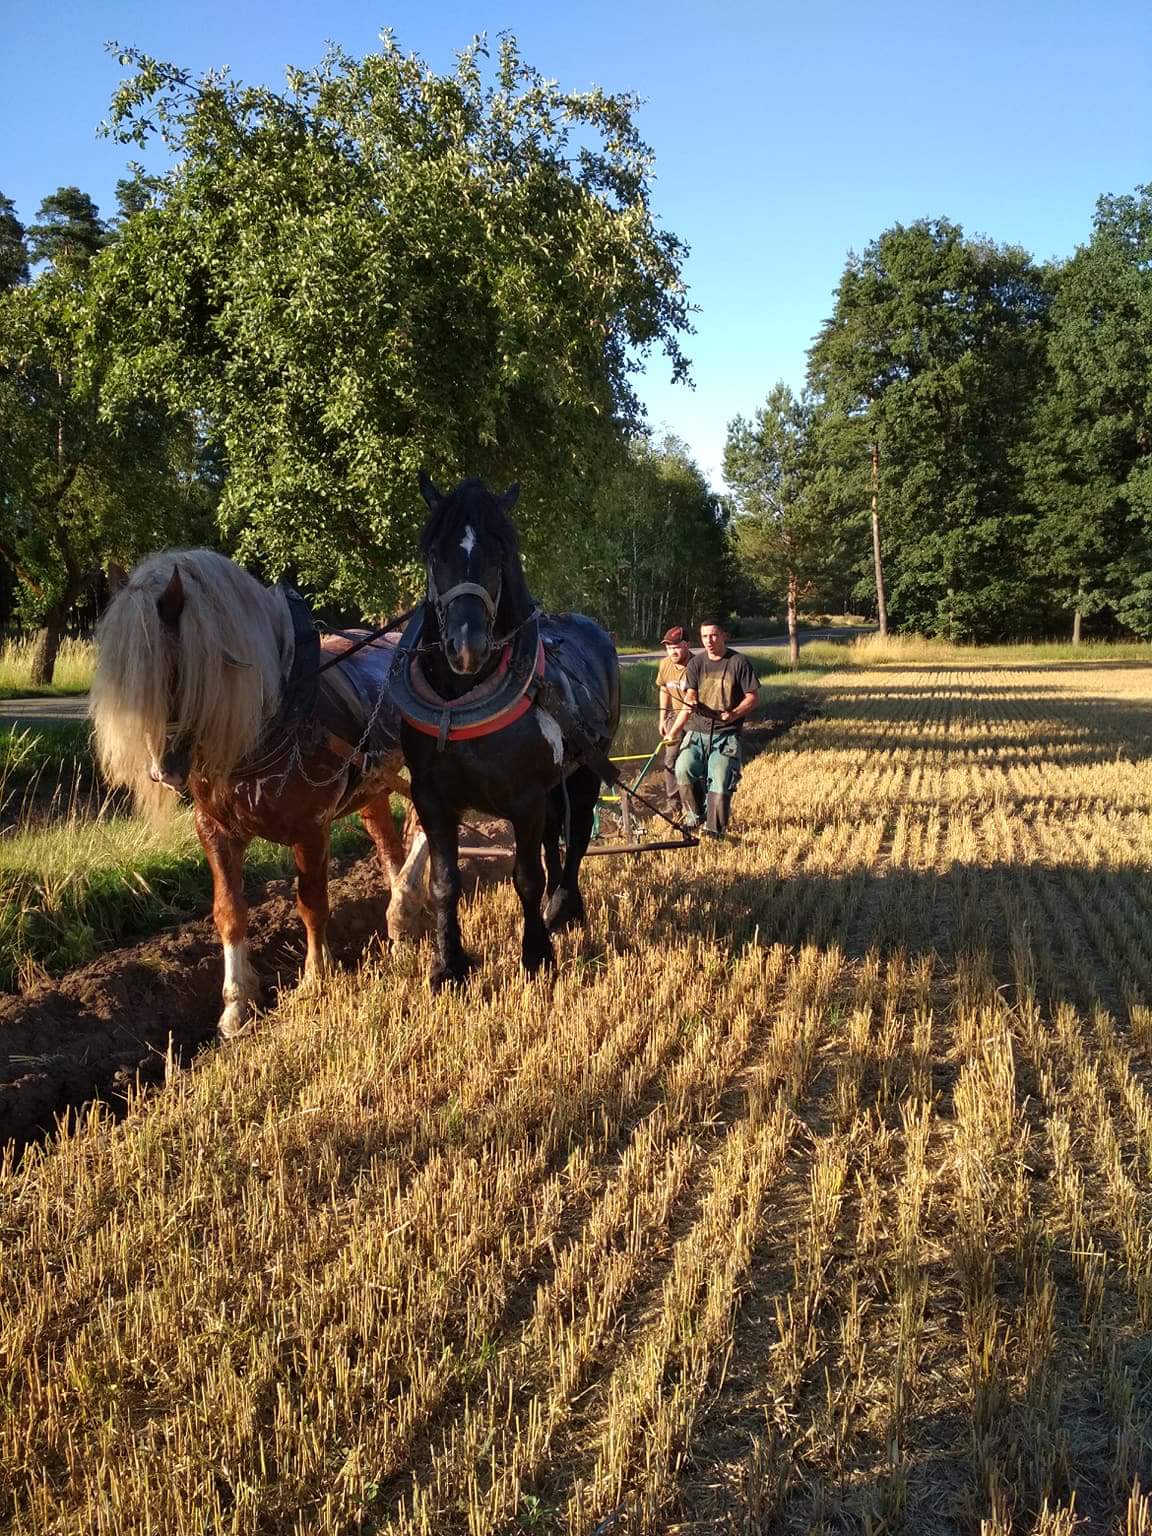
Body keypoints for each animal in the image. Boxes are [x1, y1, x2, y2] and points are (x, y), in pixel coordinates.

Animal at [89, 546, 423, 1038]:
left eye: (170, 669)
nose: (161, 773)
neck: (273, 721)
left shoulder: (312, 828)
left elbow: (312, 903)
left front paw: (316, 979)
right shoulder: (214, 830)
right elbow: (230, 913)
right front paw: (236, 1006)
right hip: (374, 787)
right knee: (388, 848)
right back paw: (401, 930)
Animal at [396, 473, 623, 989]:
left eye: (499, 555)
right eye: (435, 553)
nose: (466, 648)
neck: (460, 702)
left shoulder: (524, 798)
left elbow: (526, 877)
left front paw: (536, 954)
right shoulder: (431, 800)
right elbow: (445, 882)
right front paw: (448, 965)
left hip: (586, 769)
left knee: (576, 834)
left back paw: (565, 907)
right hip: (555, 783)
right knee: (555, 835)